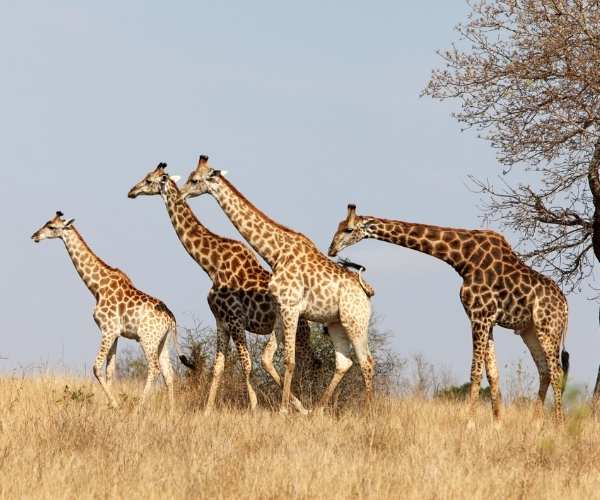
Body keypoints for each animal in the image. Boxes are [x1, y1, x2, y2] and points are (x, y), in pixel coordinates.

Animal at [30, 211, 191, 410]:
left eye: (51, 227)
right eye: (46, 223)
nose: (34, 236)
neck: (97, 288)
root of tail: (171, 319)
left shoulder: (108, 329)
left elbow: (96, 368)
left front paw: (114, 405)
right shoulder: (115, 333)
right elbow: (110, 370)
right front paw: (109, 406)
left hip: (147, 339)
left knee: (154, 368)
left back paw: (138, 409)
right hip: (162, 341)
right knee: (169, 373)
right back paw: (171, 411)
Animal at [127, 162, 318, 412]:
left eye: (149, 180)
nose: (131, 191)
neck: (211, 265)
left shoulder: (235, 319)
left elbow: (246, 364)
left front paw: (254, 408)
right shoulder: (221, 321)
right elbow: (218, 367)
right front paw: (208, 410)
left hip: (297, 330)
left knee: (308, 362)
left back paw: (306, 403)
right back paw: (302, 405)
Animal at [179, 154, 376, 412]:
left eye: (194, 180)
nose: (180, 194)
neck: (275, 253)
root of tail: (365, 290)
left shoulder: (291, 307)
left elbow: (289, 361)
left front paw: (284, 410)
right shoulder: (282, 309)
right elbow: (273, 359)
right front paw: (294, 407)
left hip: (356, 321)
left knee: (366, 361)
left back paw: (368, 410)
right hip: (336, 323)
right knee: (344, 362)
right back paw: (318, 410)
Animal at [326, 205, 568, 424]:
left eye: (348, 229)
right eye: (338, 226)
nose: (331, 249)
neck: (463, 258)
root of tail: (565, 306)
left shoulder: (478, 315)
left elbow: (475, 371)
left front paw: (469, 423)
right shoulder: (488, 320)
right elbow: (493, 373)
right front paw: (497, 423)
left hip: (548, 328)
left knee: (556, 371)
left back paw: (558, 424)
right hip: (529, 331)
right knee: (545, 370)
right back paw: (536, 422)